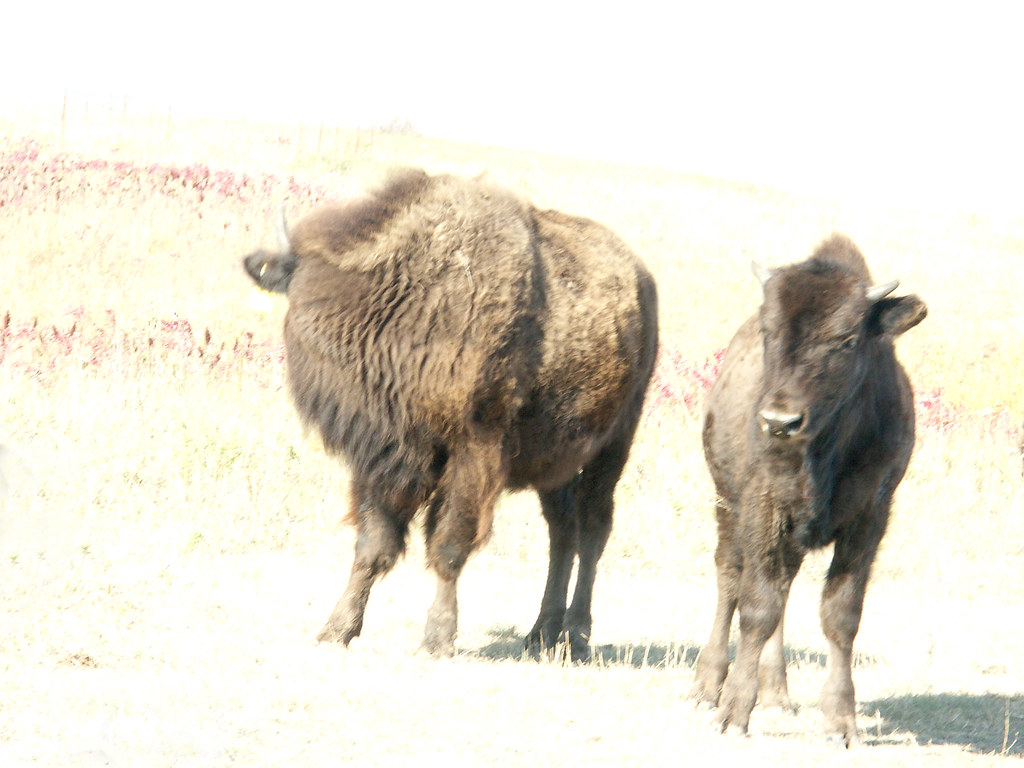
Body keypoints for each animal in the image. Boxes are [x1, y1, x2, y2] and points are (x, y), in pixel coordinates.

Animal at [243, 169, 658, 660]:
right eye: (298, 289)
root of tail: (642, 282)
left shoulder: (472, 452)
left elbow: (449, 544)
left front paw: (437, 637)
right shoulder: (383, 460)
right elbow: (372, 545)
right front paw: (336, 629)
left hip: (613, 445)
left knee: (594, 528)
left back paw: (575, 635)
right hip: (555, 465)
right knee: (562, 532)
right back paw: (541, 632)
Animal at [689, 234, 926, 745]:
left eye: (847, 339)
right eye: (768, 332)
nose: (780, 422)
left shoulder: (869, 518)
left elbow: (840, 614)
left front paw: (840, 722)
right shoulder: (764, 509)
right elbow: (756, 607)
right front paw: (732, 713)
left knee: (783, 588)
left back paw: (776, 692)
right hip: (726, 506)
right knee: (730, 580)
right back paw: (707, 685)